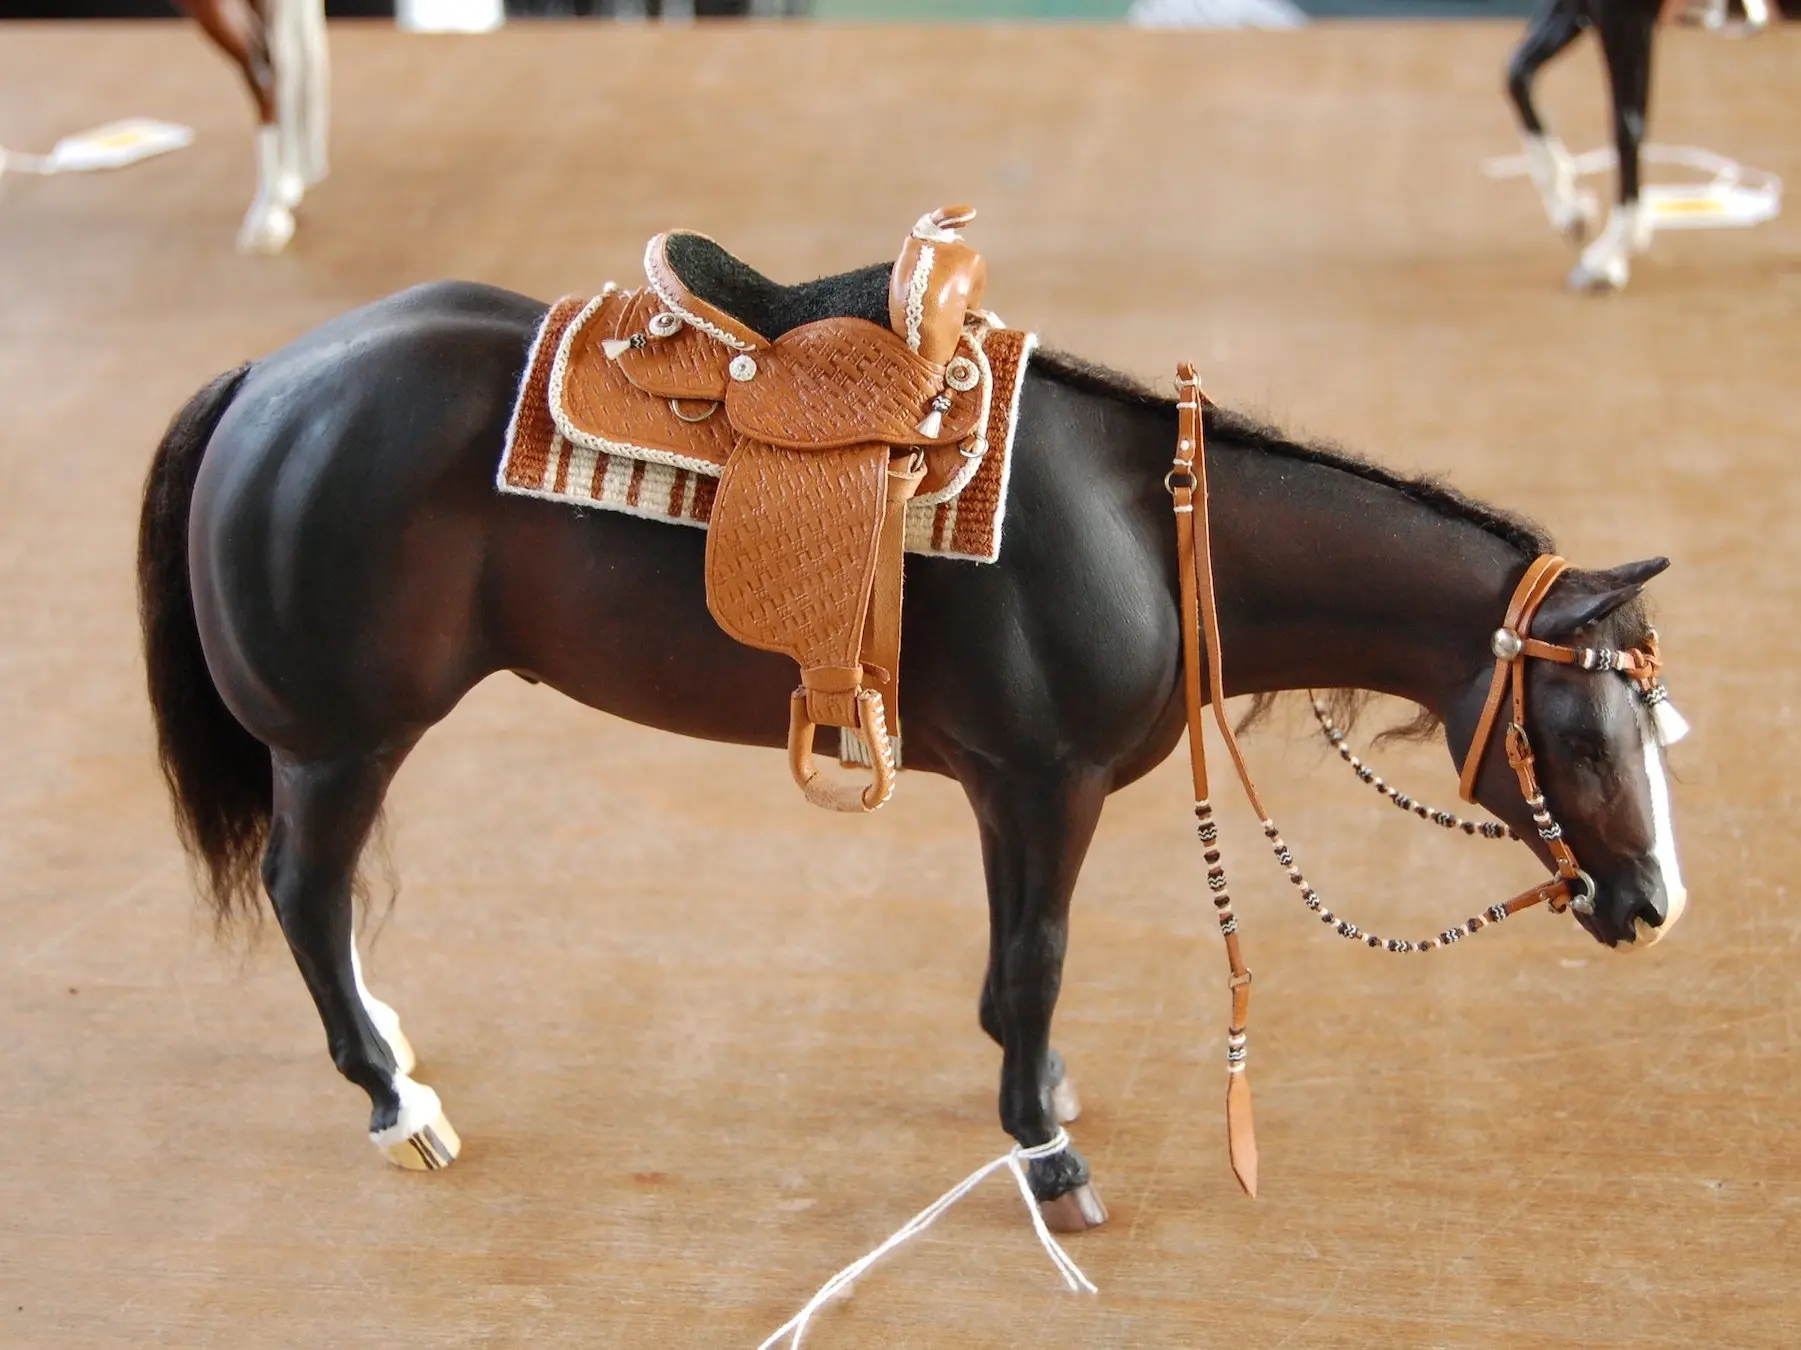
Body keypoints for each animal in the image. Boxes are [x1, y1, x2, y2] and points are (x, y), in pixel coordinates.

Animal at [136, 280, 1685, 1231]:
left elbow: (1012, 968)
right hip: (341, 743)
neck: (1144, 531)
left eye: (1649, 719)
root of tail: (267, 380)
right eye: (1577, 725)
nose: (1652, 904)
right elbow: (1038, 961)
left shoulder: (1013, 793)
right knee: (307, 893)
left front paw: (1035, 1093)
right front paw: (1049, 1160)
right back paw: (398, 1103)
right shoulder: (1045, 783)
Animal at [1505, 0, 1772, 291]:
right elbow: (1517, 74)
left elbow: (1627, 128)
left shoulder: (1625, 16)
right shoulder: (1577, 7)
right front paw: (1570, 210)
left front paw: (1607, 259)